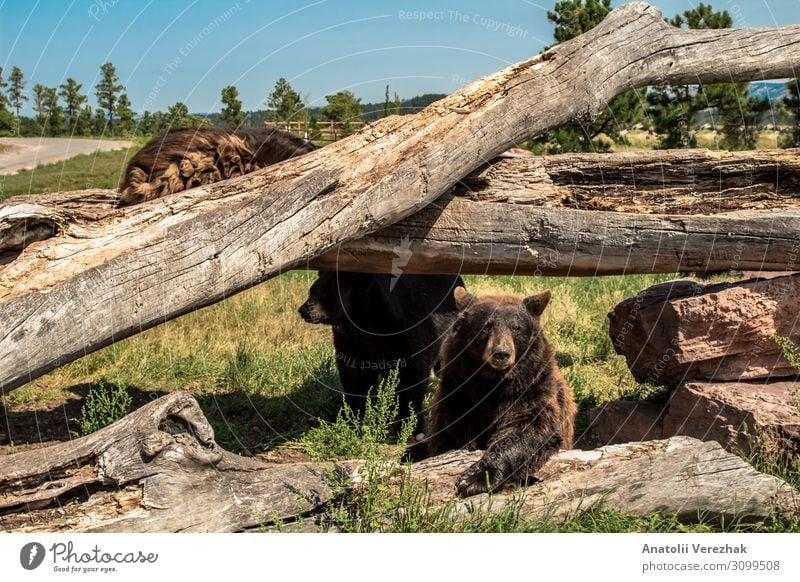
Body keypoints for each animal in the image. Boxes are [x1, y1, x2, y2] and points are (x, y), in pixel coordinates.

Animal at [298, 272, 462, 428]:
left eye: (323, 294)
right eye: (311, 291)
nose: (302, 310)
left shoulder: (406, 332)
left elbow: (412, 375)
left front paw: (407, 424)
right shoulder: (350, 342)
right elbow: (354, 376)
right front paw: (354, 417)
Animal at [432, 288, 576, 498]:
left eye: (516, 327)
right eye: (486, 326)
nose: (501, 353)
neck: (494, 383)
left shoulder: (533, 388)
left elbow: (528, 429)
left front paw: (475, 479)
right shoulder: (459, 391)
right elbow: (451, 431)